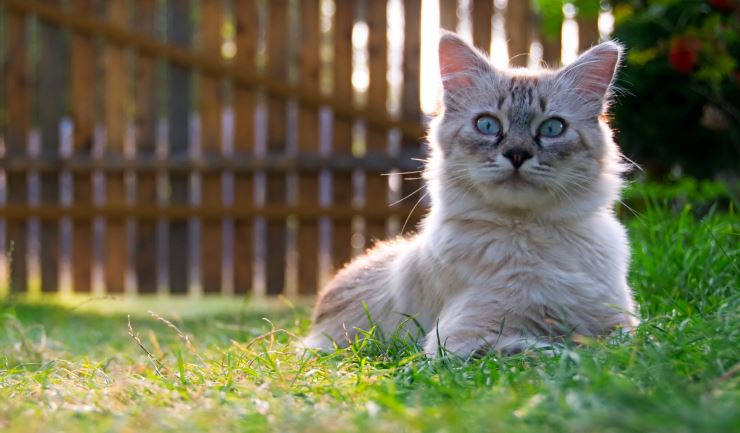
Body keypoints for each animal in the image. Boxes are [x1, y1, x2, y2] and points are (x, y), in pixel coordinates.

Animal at [304, 32, 640, 356]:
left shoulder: (620, 322)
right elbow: (554, 350)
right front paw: (573, 350)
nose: (517, 155)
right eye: (488, 125)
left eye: (551, 128)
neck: (531, 236)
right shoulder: (460, 339)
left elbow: (627, 342)